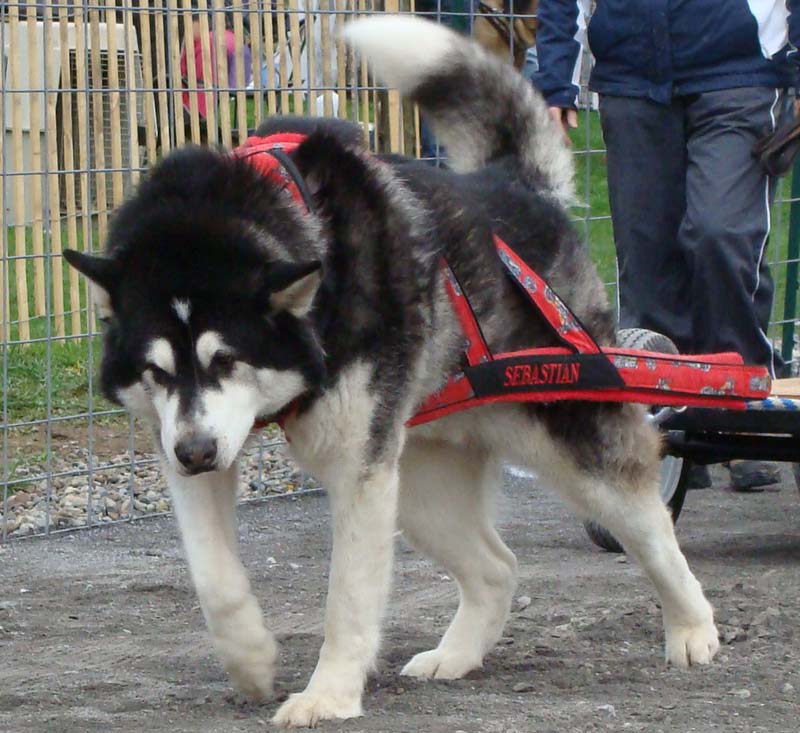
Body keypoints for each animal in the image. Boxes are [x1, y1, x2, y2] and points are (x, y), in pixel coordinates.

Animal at [65, 15, 720, 728]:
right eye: (157, 373)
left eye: (227, 358)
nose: (195, 453)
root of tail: (515, 187)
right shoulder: (198, 440)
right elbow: (215, 580)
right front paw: (251, 659)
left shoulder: (355, 468)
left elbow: (347, 599)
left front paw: (328, 694)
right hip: (416, 481)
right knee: (498, 566)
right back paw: (456, 656)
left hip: (566, 435)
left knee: (649, 525)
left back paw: (693, 628)